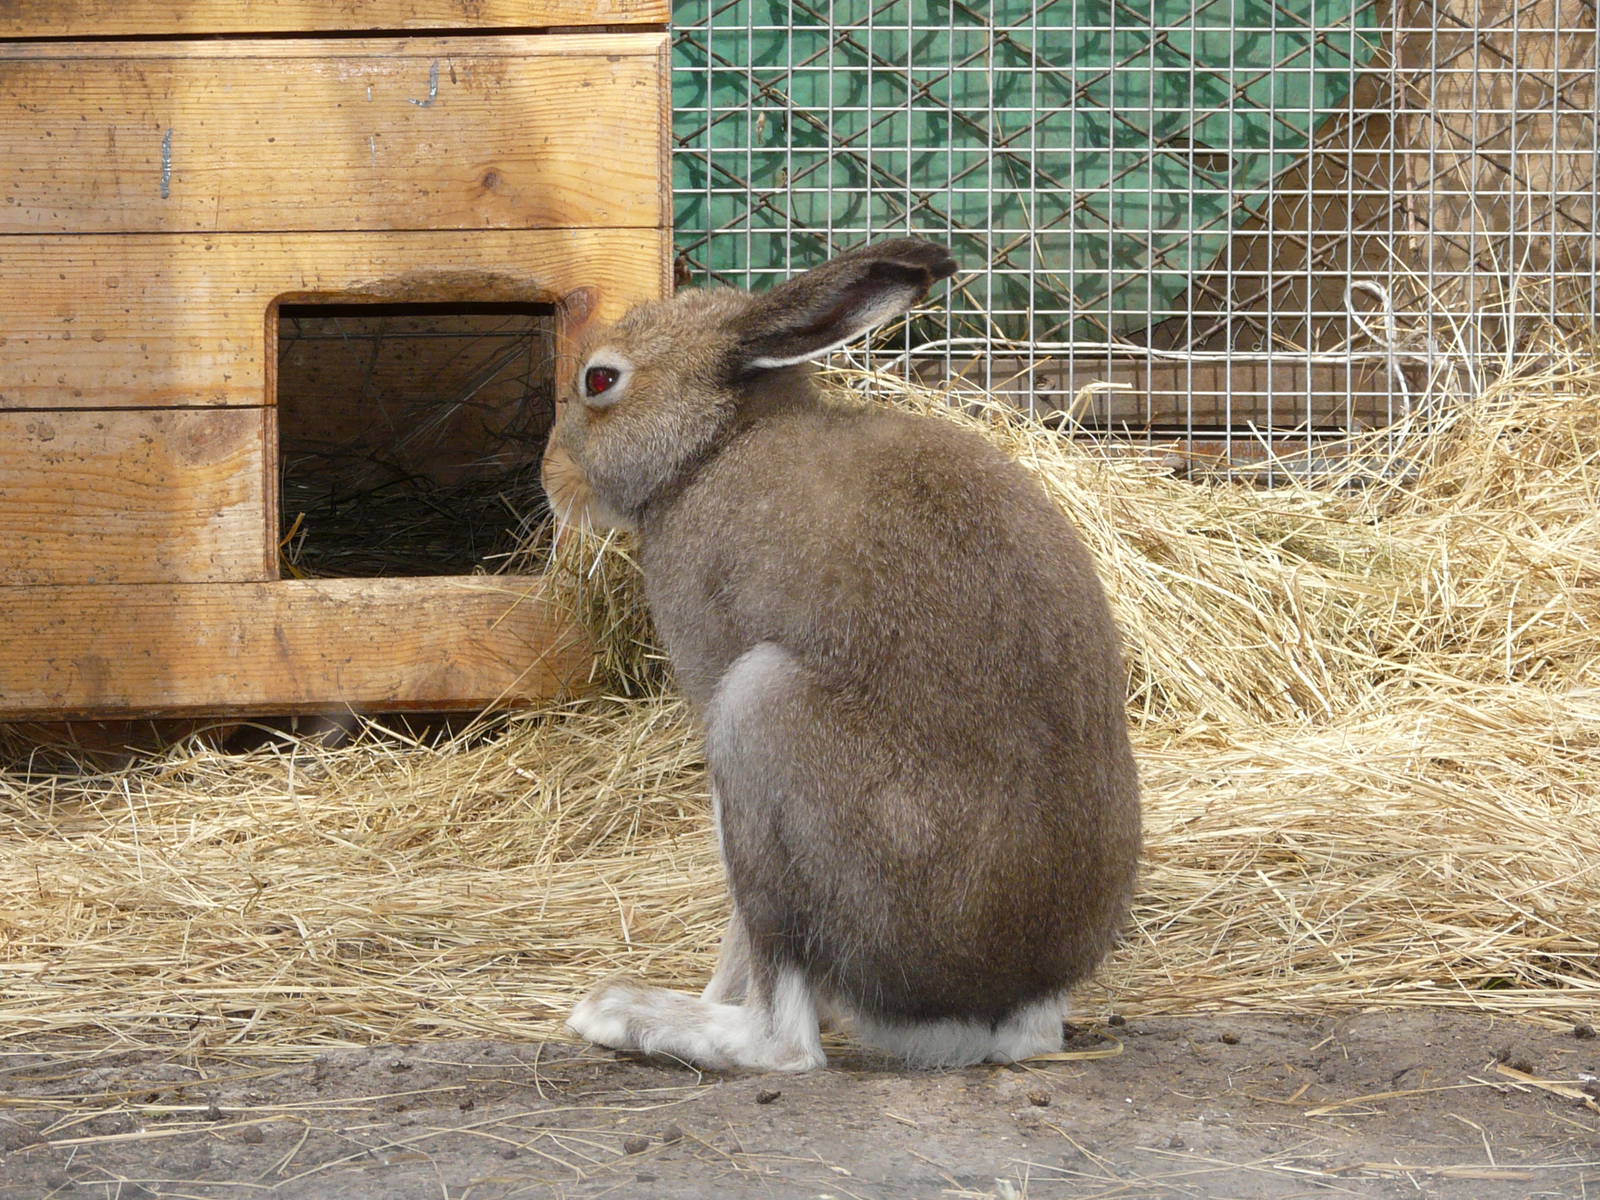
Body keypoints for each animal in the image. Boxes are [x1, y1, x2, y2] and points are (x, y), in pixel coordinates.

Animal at [542, 238, 1141, 1072]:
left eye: (600, 379)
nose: (551, 477)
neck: (715, 445)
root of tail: (1000, 1010)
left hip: (759, 715)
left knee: (783, 1037)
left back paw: (626, 1014)